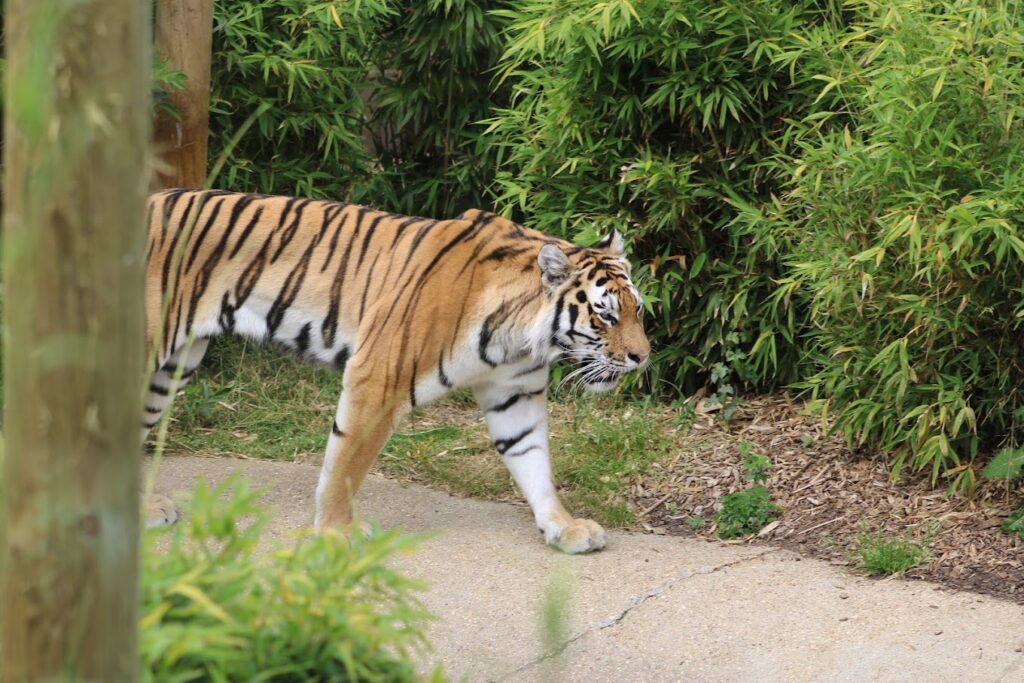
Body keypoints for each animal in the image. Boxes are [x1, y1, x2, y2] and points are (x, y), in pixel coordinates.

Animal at [143, 189, 650, 553]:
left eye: (638, 311)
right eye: (605, 315)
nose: (642, 357)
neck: (521, 337)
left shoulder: (515, 394)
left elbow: (534, 461)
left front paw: (563, 527)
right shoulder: (376, 379)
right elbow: (345, 465)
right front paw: (337, 535)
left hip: (173, 368)